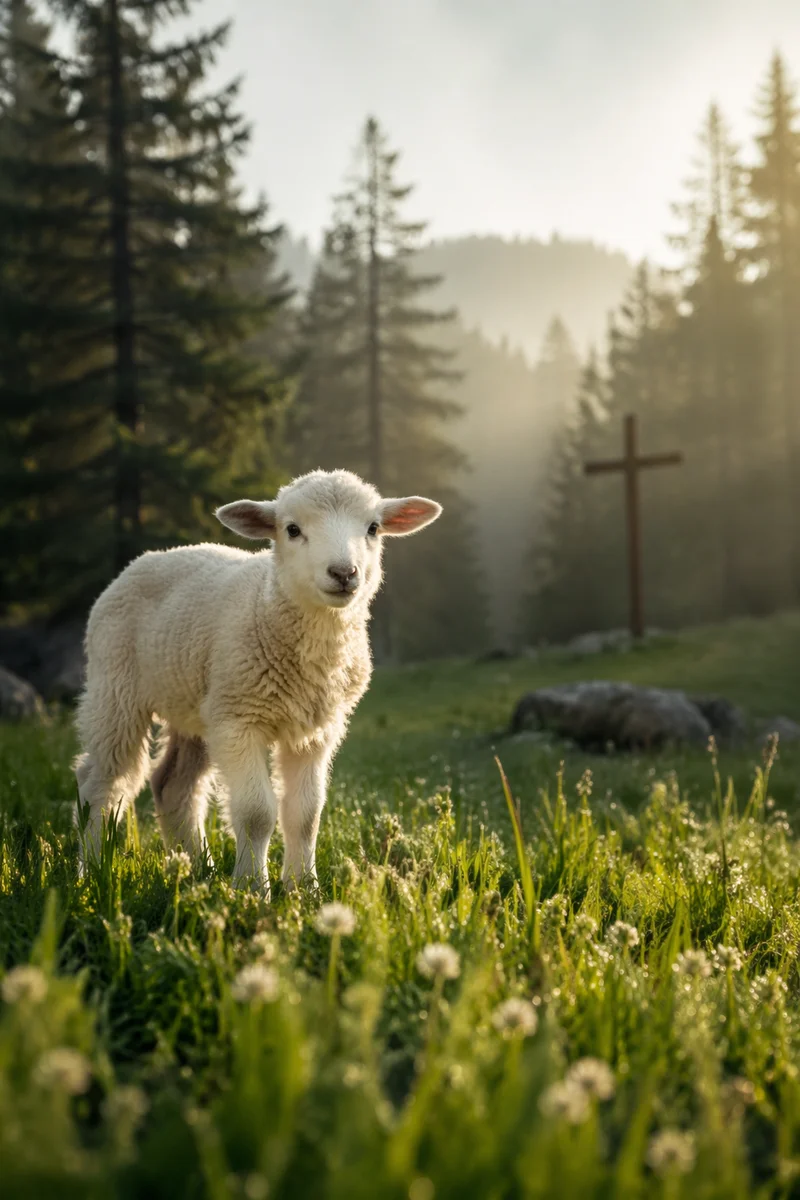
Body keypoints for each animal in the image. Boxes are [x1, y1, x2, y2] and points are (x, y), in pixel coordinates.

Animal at [73, 469, 441, 892]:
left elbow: (305, 814)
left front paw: (304, 888)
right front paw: (251, 888)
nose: (344, 574)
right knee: (101, 781)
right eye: (292, 529)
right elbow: (256, 813)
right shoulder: (239, 721)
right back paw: (91, 871)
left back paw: (196, 869)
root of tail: (147, 559)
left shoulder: (315, 730)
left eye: (373, 528)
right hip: (116, 686)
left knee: (172, 785)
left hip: (197, 705)